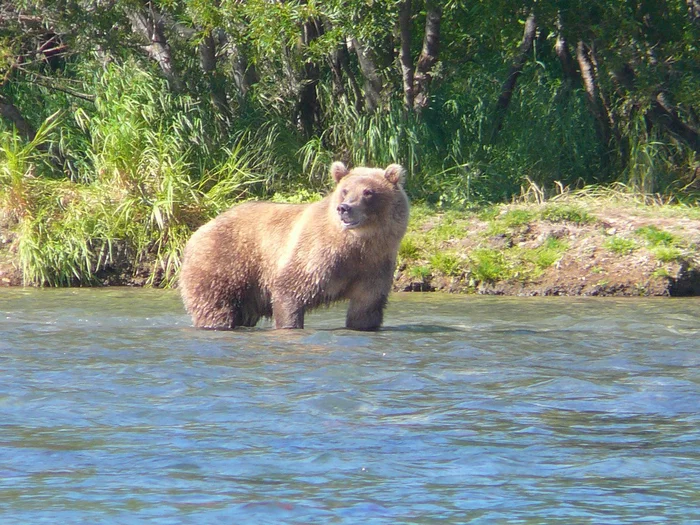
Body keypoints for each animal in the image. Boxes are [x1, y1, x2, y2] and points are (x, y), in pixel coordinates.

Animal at [179, 162, 410, 330]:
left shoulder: (374, 265)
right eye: (345, 190)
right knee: (215, 306)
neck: (357, 244)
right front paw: (289, 325)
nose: (344, 208)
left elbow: (366, 307)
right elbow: (290, 291)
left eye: (368, 192)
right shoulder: (317, 256)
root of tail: (199, 230)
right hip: (224, 264)